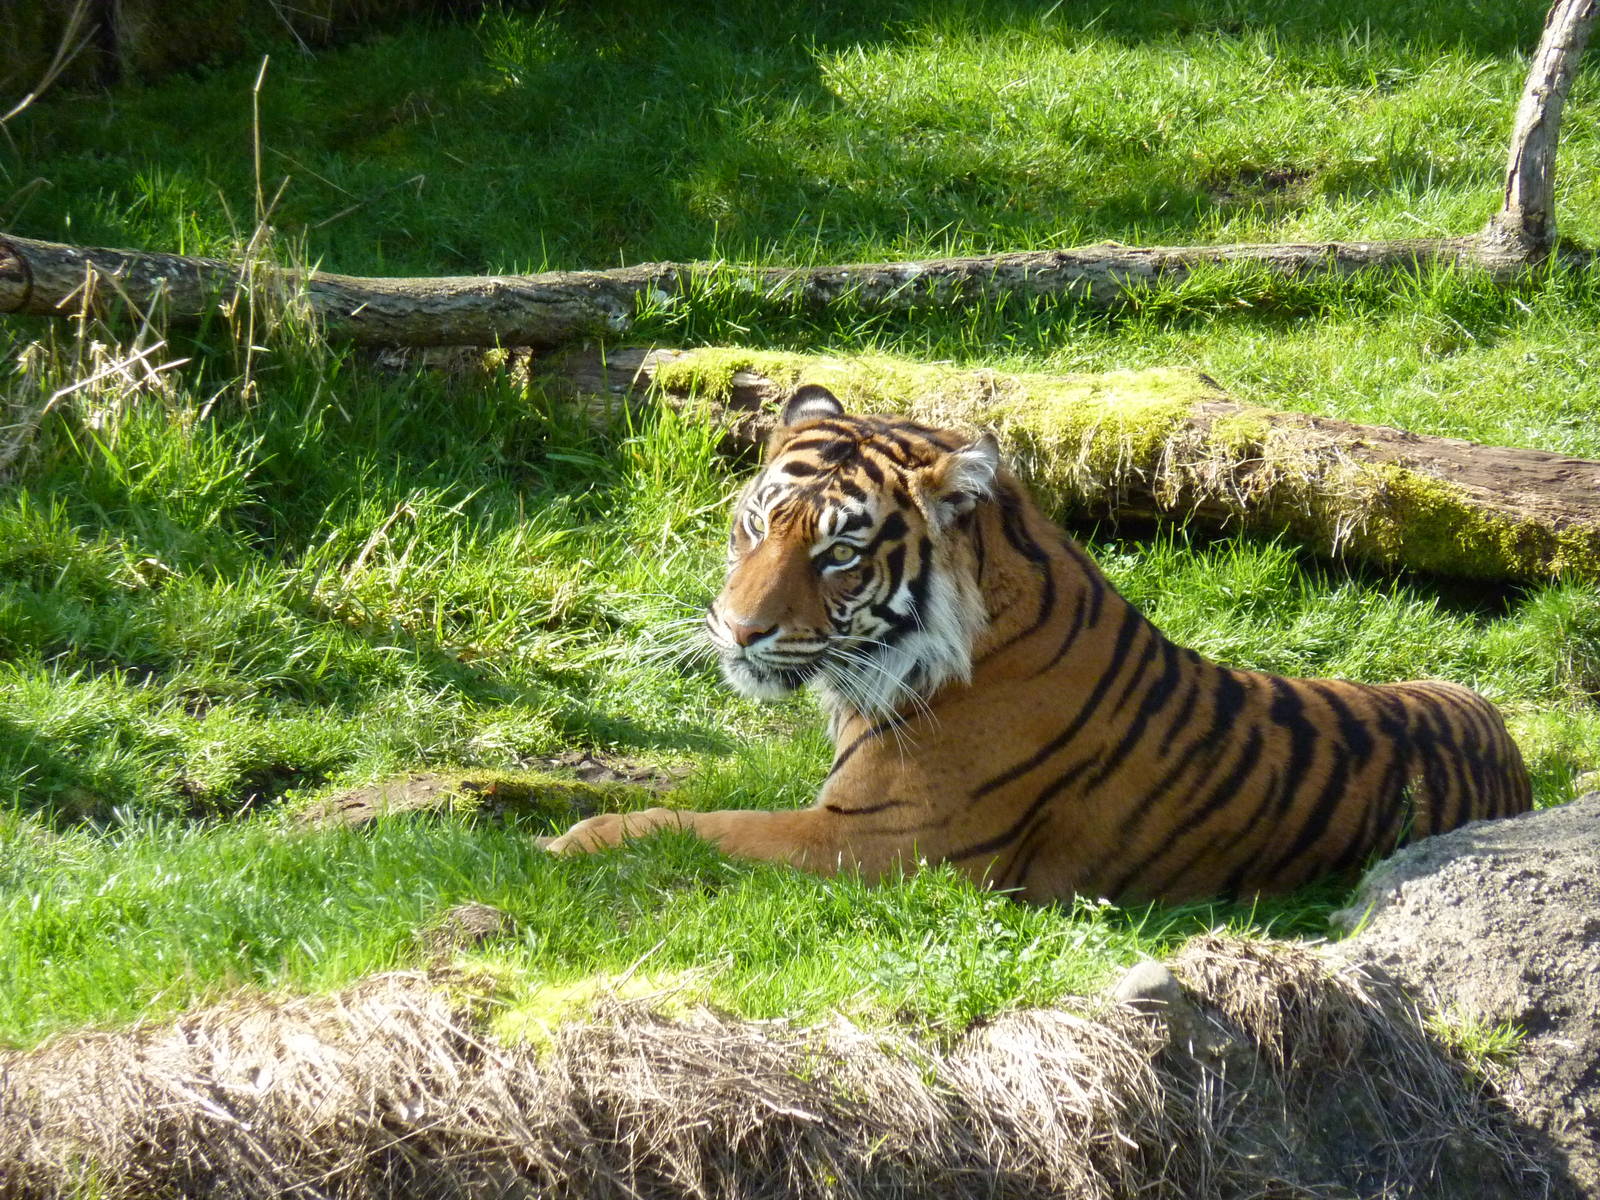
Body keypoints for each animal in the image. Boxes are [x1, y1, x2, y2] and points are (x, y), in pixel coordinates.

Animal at [543, 384, 1532, 903]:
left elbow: (691, 826)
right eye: (756, 526)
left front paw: (565, 845)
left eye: (840, 554)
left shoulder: (882, 843)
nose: (741, 629)